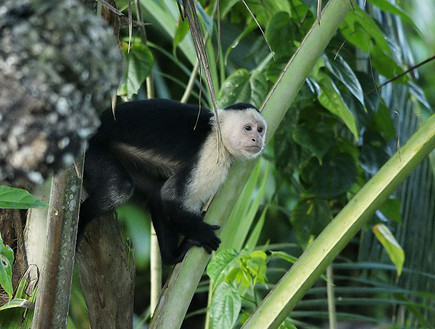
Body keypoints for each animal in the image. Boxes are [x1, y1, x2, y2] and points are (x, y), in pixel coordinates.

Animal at [79, 98, 268, 264]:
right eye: (248, 128)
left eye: (260, 130)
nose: (257, 139)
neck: (216, 133)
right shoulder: (213, 153)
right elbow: (170, 196)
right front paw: (203, 233)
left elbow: (163, 195)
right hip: (90, 150)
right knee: (120, 188)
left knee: (154, 191)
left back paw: (172, 257)